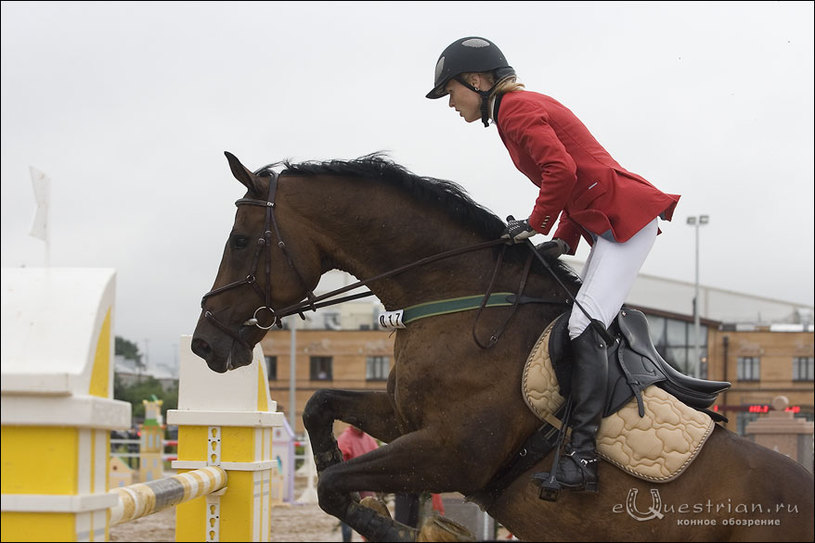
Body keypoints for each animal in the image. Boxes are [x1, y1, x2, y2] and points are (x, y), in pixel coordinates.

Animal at [193, 152, 815, 543]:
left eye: (241, 241)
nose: (204, 344)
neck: (459, 298)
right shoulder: (404, 419)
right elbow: (320, 409)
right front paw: (341, 476)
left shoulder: (454, 451)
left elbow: (336, 485)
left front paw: (400, 525)